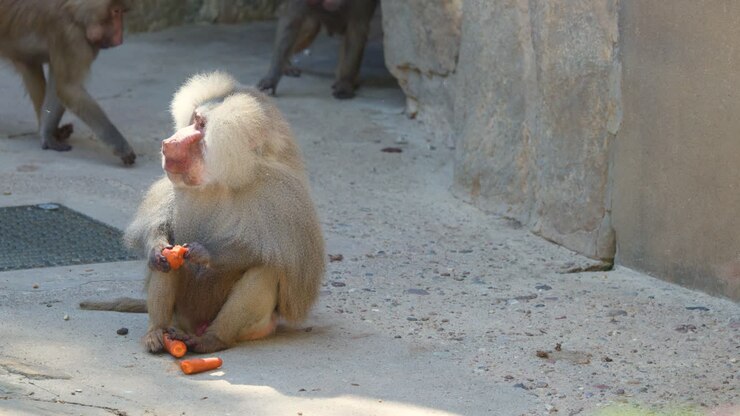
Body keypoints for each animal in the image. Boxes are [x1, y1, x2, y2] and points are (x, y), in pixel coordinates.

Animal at [0, 0, 136, 165]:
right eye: (116, 12)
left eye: (123, 12)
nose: (120, 37)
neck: (76, 12)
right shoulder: (70, 36)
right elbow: (69, 89)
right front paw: (121, 146)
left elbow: (60, 87)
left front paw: (47, 135)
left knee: (30, 65)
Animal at [80, 72, 326, 353]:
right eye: (194, 117)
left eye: (200, 124)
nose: (168, 141)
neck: (220, 180)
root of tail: (193, 327)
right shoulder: (173, 185)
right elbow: (161, 231)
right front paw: (156, 248)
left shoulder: (283, 197)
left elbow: (272, 255)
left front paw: (204, 253)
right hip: (182, 314)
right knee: (167, 265)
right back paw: (156, 332)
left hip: (254, 327)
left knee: (267, 269)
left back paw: (211, 340)